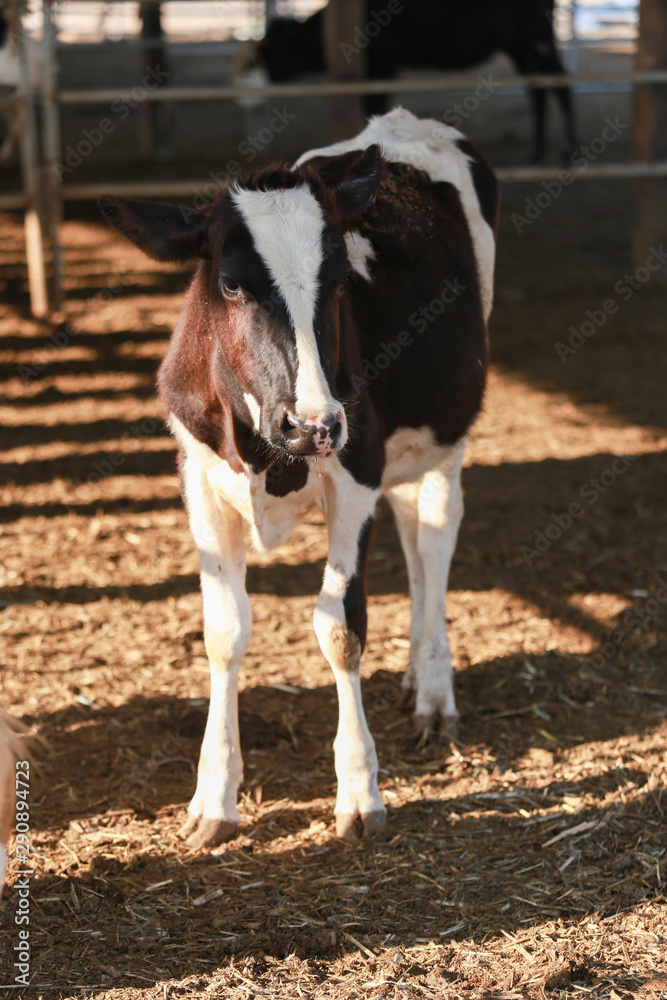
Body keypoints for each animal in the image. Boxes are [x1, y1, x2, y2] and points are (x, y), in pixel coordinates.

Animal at [99, 107, 498, 849]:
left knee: (434, 537)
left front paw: (359, 793)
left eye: (340, 283)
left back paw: (434, 693)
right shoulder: (199, 482)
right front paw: (213, 798)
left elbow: (340, 627)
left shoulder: (357, 472)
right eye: (231, 285)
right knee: (413, 533)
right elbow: (224, 632)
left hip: (446, 430)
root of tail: (406, 121)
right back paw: (413, 678)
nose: (312, 423)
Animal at [259, 0, 576, 162]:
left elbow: (375, 105)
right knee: (537, 90)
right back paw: (538, 150)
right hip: (521, 48)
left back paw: (568, 150)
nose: (267, 73)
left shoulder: (383, 66)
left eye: (280, 47)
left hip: (536, 38)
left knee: (561, 84)